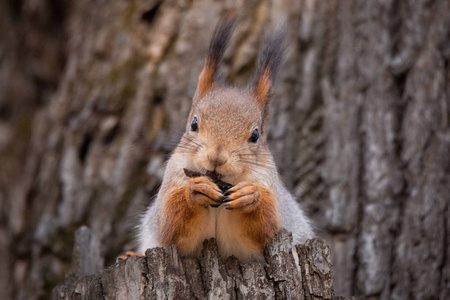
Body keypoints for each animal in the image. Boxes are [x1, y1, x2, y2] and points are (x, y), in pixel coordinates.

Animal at [135, 17, 314, 262]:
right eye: (194, 123)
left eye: (255, 135)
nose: (216, 157)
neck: (221, 180)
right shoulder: (173, 179)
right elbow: (169, 226)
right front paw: (196, 190)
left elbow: (268, 229)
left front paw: (250, 196)